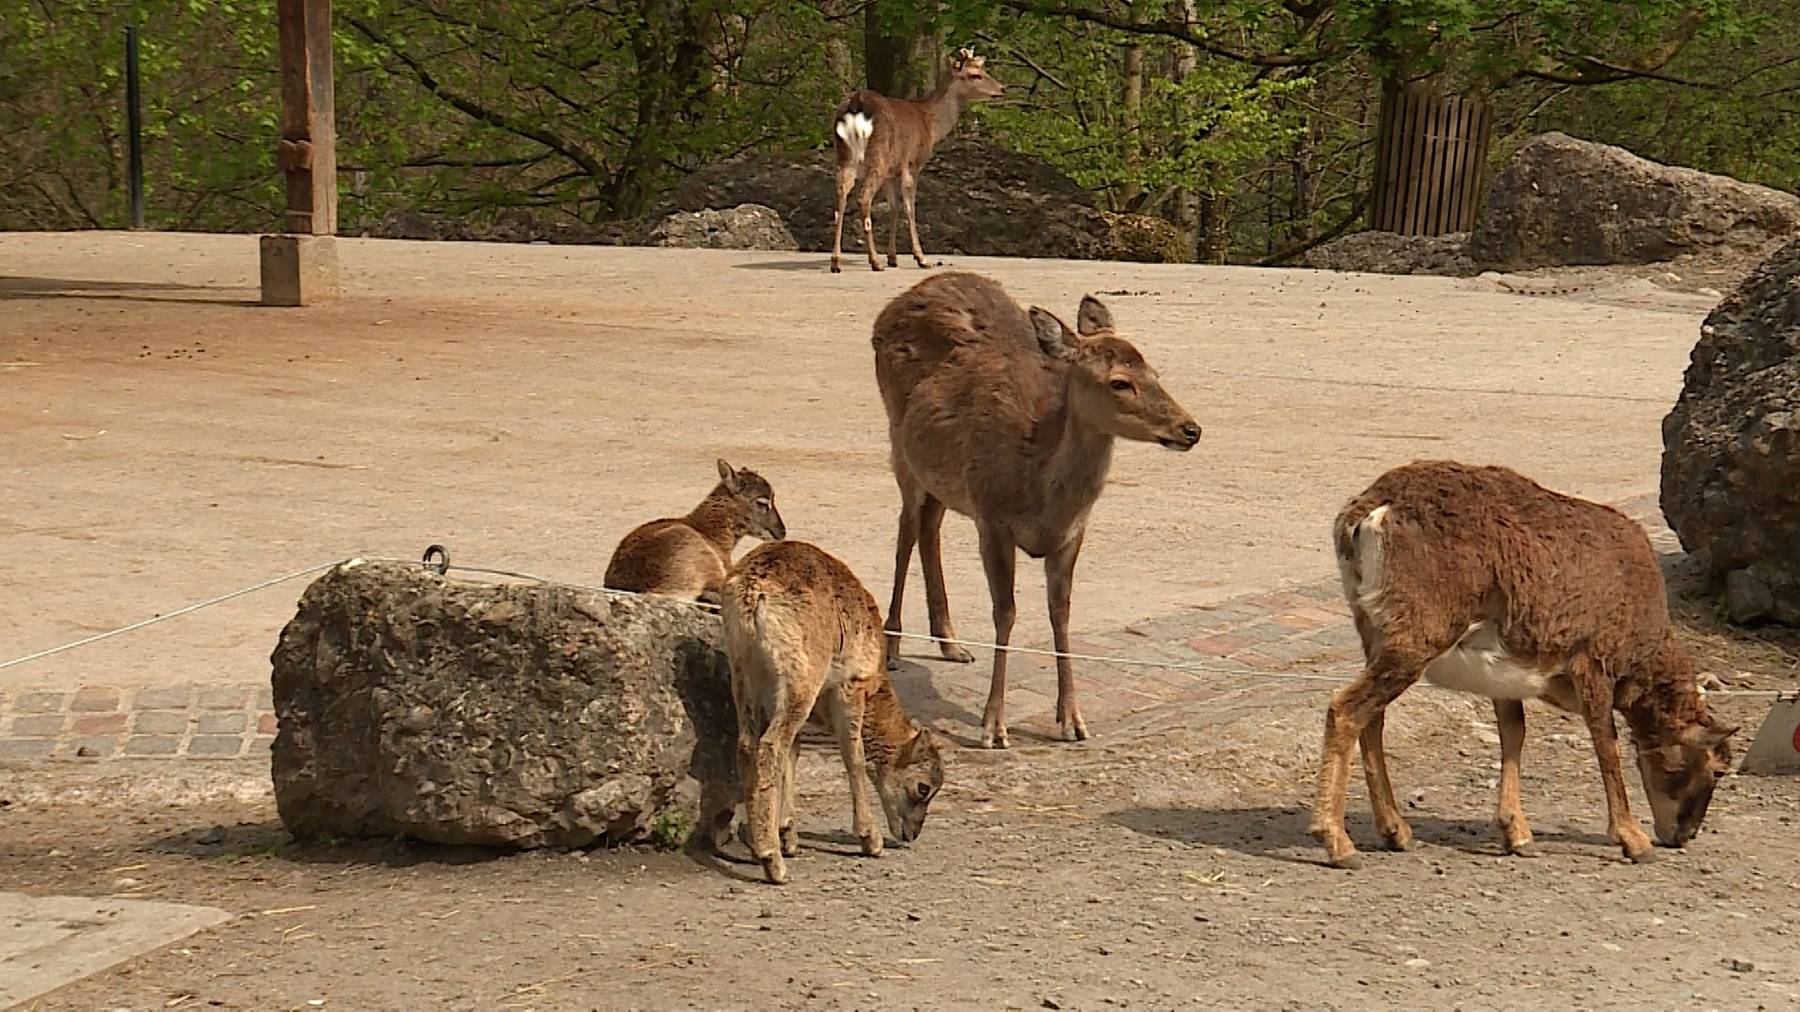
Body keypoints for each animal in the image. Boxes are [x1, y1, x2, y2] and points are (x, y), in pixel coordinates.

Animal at [716, 540, 950, 878]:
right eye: (923, 787)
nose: (912, 833)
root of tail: (753, 592)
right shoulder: (850, 689)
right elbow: (854, 757)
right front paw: (871, 840)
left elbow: (793, 756)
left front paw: (789, 835)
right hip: (801, 681)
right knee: (770, 747)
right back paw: (773, 862)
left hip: (745, 676)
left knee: (749, 745)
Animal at [831, 47, 1008, 271]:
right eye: (975, 74)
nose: (1002, 88)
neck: (931, 124)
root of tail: (856, 104)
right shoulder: (912, 163)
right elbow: (910, 207)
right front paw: (921, 258)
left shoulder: (892, 171)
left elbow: (894, 207)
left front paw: (893, 257)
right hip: (877, 157)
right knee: (864, 198)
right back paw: (875, 261)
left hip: (845, 157)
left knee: (840, 197)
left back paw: (836, 261)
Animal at [867, 271, 1195, 745]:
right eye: (1119, 382)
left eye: (1154, 372)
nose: (1191, 429)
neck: (1037, 489)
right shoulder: (991, 519)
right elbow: (1005, 612)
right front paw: (993, 727)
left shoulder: (1073, 532)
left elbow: (1061, 611)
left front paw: (1072, 719)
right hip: (900, 445)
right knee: (906, 530)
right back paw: (892, 649)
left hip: (941, 477)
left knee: (930, 526)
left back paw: (951, 643)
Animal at [1310, 460, 1742, 864]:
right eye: (1717, 768)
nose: (1684, 835)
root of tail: (1372, 512)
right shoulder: (1592, 662)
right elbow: (1606, 742)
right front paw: (1633, 840)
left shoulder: (1504, 675)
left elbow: (1514, 733)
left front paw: (1516, 834)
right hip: (1415, 641)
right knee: (1346, 709)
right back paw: (1338, 843)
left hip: (1375, 633)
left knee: (1372, 717)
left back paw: (1395, 832)